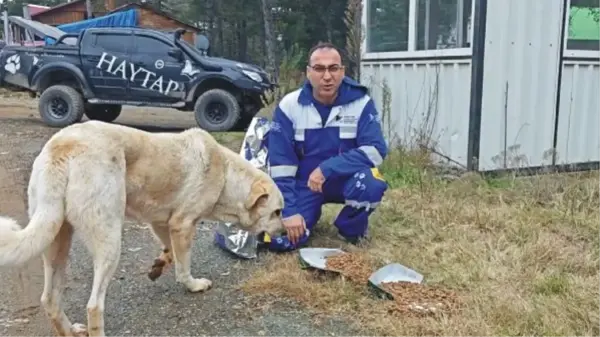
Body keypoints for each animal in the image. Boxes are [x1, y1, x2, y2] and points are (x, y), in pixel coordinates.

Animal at [0, 121, 284, 336]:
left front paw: (159, 265)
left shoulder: (161, 222)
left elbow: (170, 252)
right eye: (278, 212)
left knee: (49, 300)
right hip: (109, 242)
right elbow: (183, 266)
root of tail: (62, 147)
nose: (283, 234)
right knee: (94, 306)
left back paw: (70, 331)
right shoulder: (182, 224)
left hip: (56, 240)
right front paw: (193, 285)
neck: (226, 174)